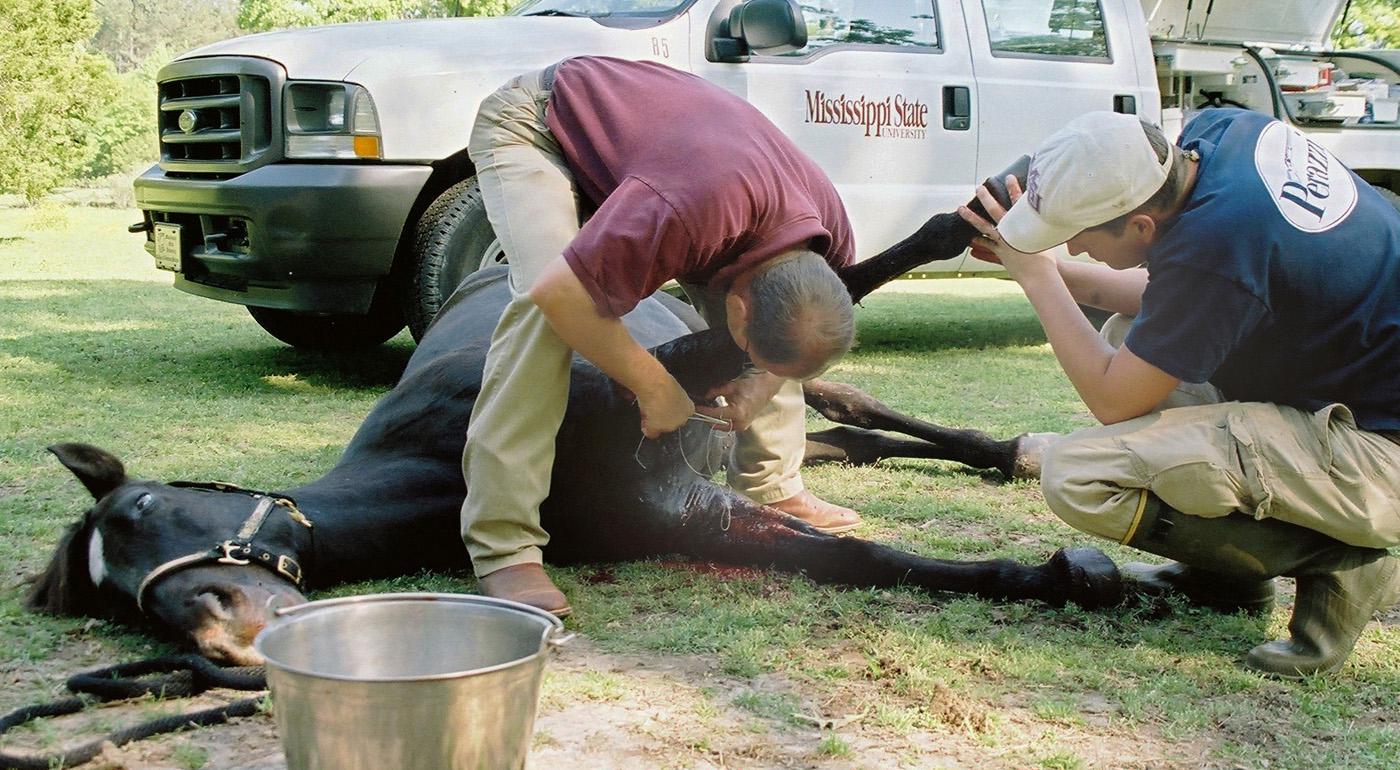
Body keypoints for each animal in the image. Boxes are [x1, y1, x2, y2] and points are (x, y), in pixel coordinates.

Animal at [27, 177, 1120, 666]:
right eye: (121, 604)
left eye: (148, 506)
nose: (230, 638)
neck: (452, 459)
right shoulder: (691, 516)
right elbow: (864, 560)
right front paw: (1067, 577)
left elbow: (856, 275)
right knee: (842, 444)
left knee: (862, 404)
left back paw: (1009, 451)